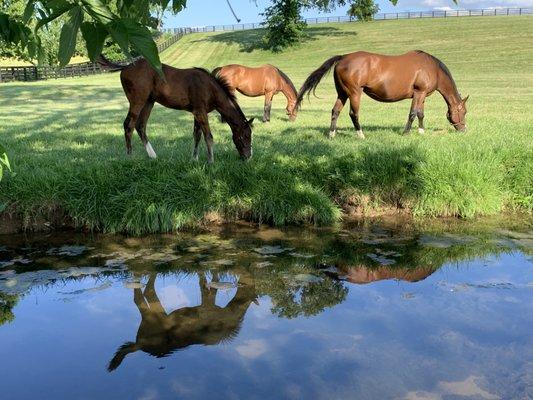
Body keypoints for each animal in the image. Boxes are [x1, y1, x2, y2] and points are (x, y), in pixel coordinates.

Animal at [97, 56, 254, 162]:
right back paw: (130, 157)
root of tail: (125, 67)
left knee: (140, 125)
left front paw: (194, 159)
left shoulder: (197, 112)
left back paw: (153, 156)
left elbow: (197, 135)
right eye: (246, 136)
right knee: (128, 124)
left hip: (149, 102)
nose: (248, 157)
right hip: (137, 101)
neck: (209, 88)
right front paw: (211, 162)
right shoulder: (200, 112)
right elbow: (208, 136)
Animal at [298, 50, 468, 139]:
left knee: (335, 111)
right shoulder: (419, 92)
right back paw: (361, 135)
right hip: (354, 93)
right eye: (464, 112)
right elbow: (413, 113)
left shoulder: (422, 95)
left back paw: (332, 134)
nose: (464, 130)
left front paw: (421, 131)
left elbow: (420, 113)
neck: (432, 68)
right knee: (353, 113)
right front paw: (406, 133)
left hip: (342, 93)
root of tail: (343, 57)